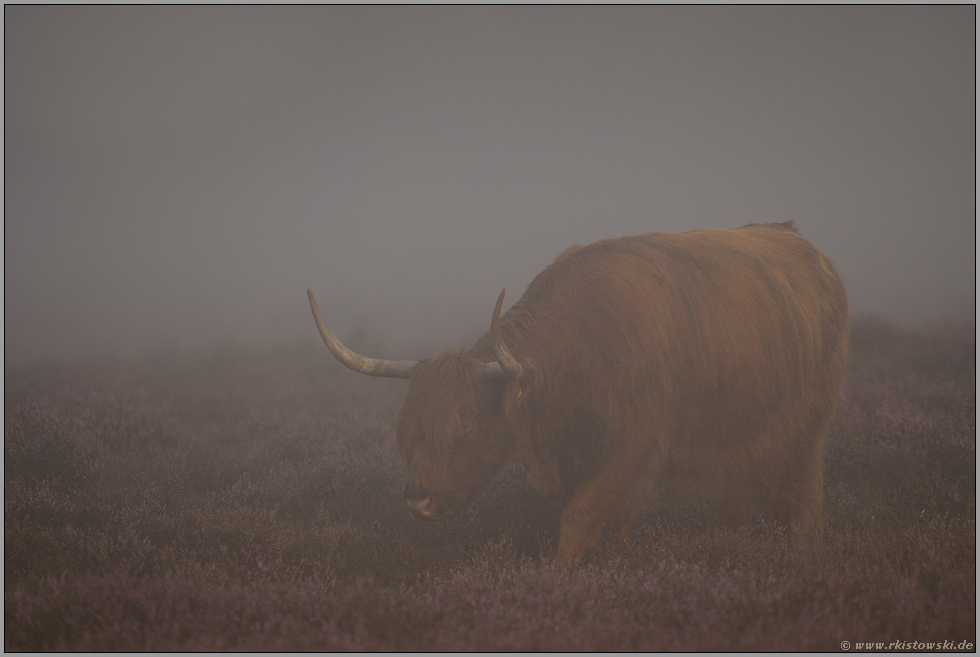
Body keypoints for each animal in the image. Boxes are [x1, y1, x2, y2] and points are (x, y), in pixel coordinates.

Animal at [308, 222, 848, 564]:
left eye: (464, 422)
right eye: (406, 427)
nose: (418, 501)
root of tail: (802, 244)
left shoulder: (631, 448)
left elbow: (578, 520)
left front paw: (558, 581)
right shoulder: (584, 461)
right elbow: (609, 524)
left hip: (807, 428)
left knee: (803, 500)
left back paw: (799, 558)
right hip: (745, 432)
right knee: (740, 495)